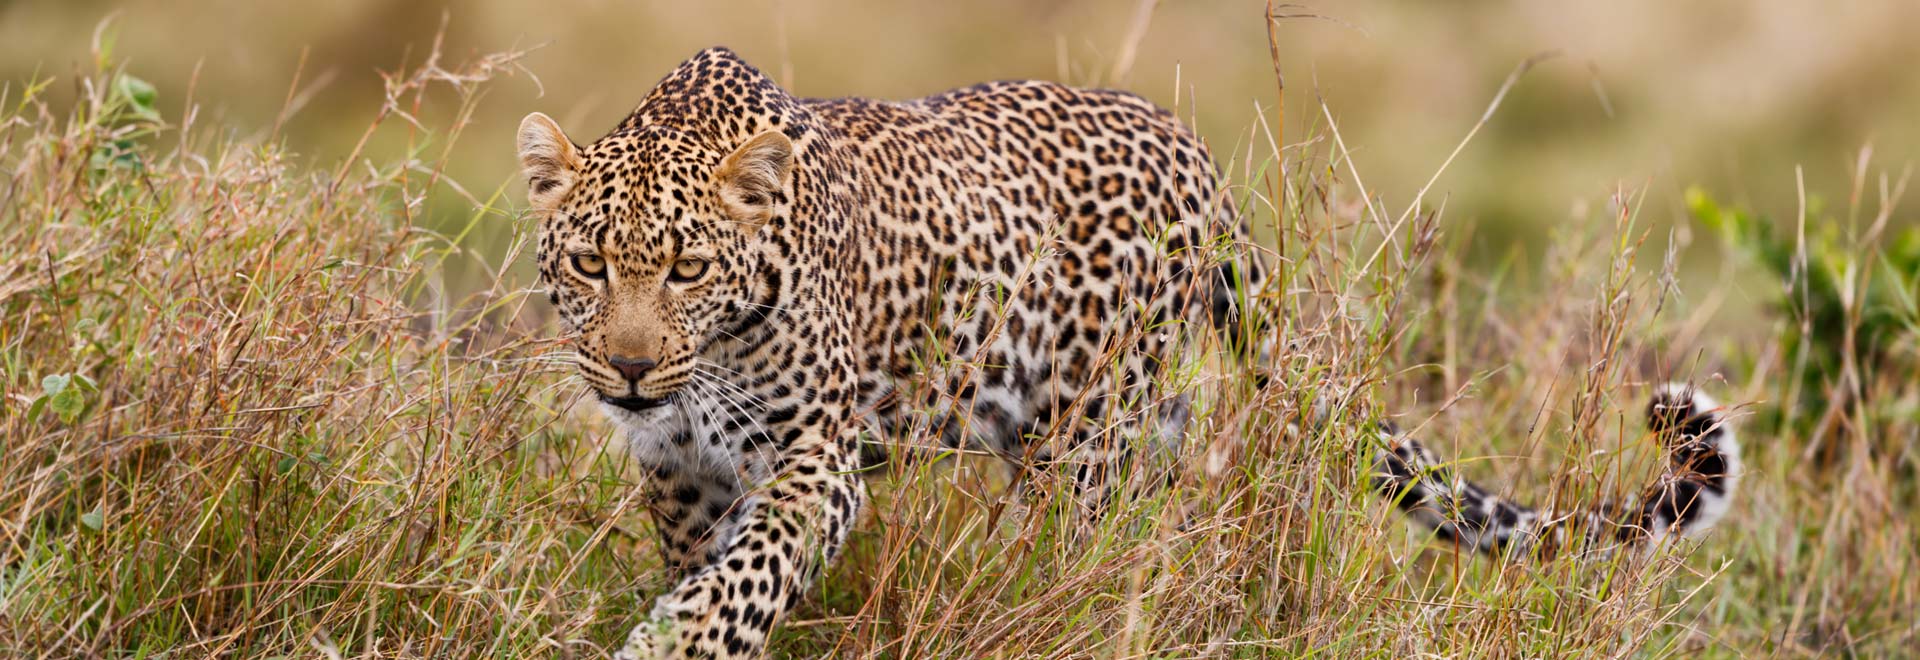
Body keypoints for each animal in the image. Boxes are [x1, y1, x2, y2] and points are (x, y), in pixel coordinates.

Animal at [514, 45, 1743, 656]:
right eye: (587, 265)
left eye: (685, 269)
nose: (630, 369)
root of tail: (1191, 146)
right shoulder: (677, 470)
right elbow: (708, 570)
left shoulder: (813, 462)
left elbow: (742, 578)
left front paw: (669, 643)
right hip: (1130, 427)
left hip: (1084, 437)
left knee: (1082, 559)